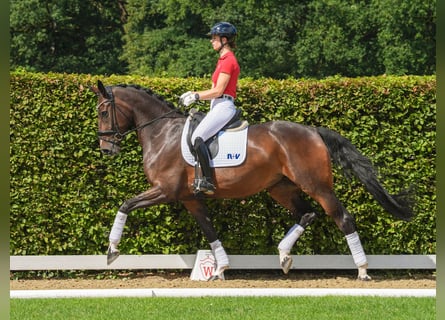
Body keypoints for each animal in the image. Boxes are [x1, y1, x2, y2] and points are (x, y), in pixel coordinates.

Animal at [91, 80, 412, 280]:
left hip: (317, 185)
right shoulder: (189, 198)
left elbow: (125, 205)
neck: (162, 132)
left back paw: (362, 270)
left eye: (104, 111)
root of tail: (313, 130)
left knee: (342, 217)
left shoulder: (165, 190)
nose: (106, 149)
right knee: (306, 214)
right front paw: (220, 268)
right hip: (280, 188)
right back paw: (283, 257)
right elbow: (209, 230)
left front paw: (112, 251)